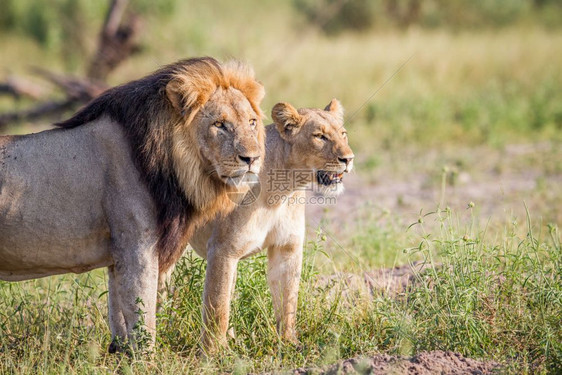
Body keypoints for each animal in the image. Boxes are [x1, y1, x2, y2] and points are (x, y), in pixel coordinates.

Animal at [0, 56, 264, 352]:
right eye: (219, 124)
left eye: (252, 122)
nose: (252, 158)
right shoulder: (137, 246)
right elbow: (143, 318)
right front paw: (147, 357)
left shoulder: (117, 255)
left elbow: (119, 317)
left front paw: (120, 353)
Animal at [172, 98, 354, 352]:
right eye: (320, 136)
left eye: (343, 134)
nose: (348, 159)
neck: (281, 192)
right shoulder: (222, 249)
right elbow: (217, 305)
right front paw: (214, 353)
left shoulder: (286, 248)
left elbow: (288, 301)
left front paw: (289, 342)